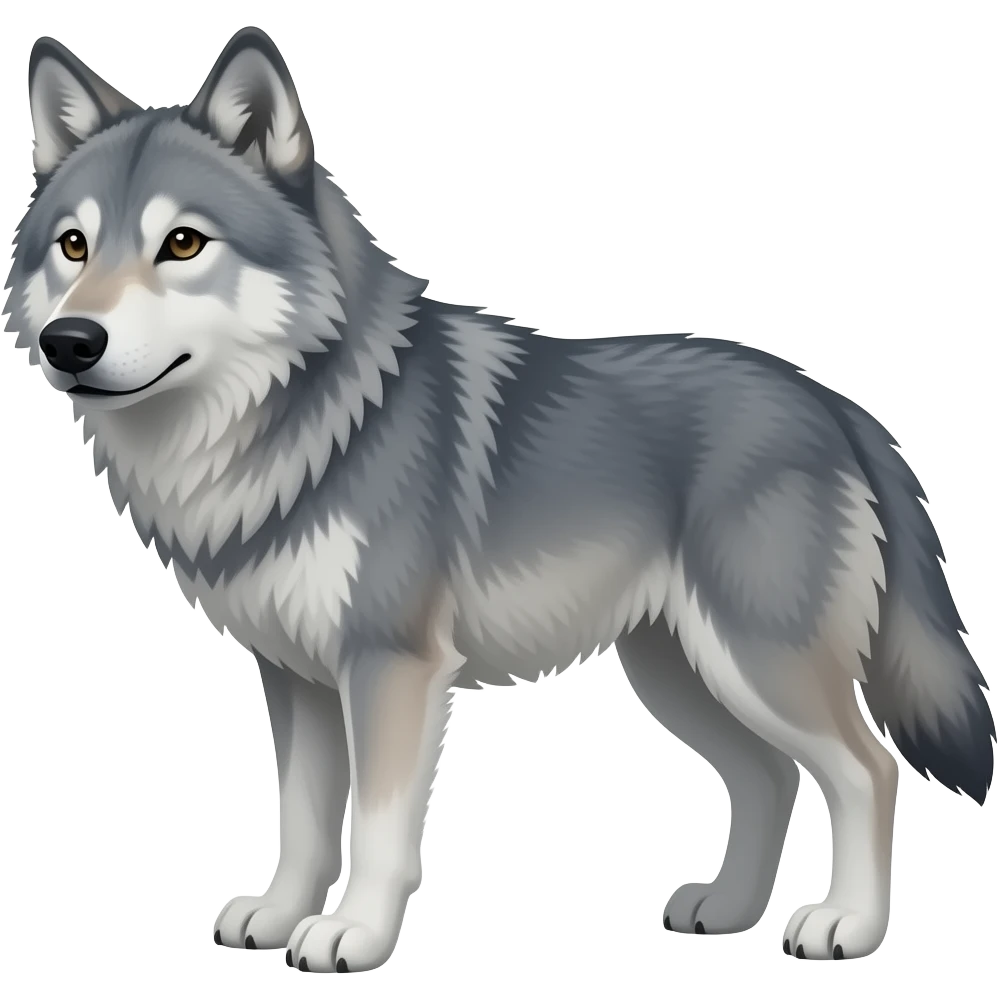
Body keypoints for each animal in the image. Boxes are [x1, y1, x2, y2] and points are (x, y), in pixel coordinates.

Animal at [6, 26, 995, 972]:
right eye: (73, 246)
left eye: (182, 243)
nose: (70, 341)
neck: (304, 425)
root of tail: (835, 403)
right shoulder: (295, 678)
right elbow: (302, 823)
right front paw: (281, 916)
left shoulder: (391, 667)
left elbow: (375, 827)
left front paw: (352, 936)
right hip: (678, 671)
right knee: (769, 778)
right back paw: (727, 910)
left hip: (756, 661)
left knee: (868, 769)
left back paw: (847, 927)